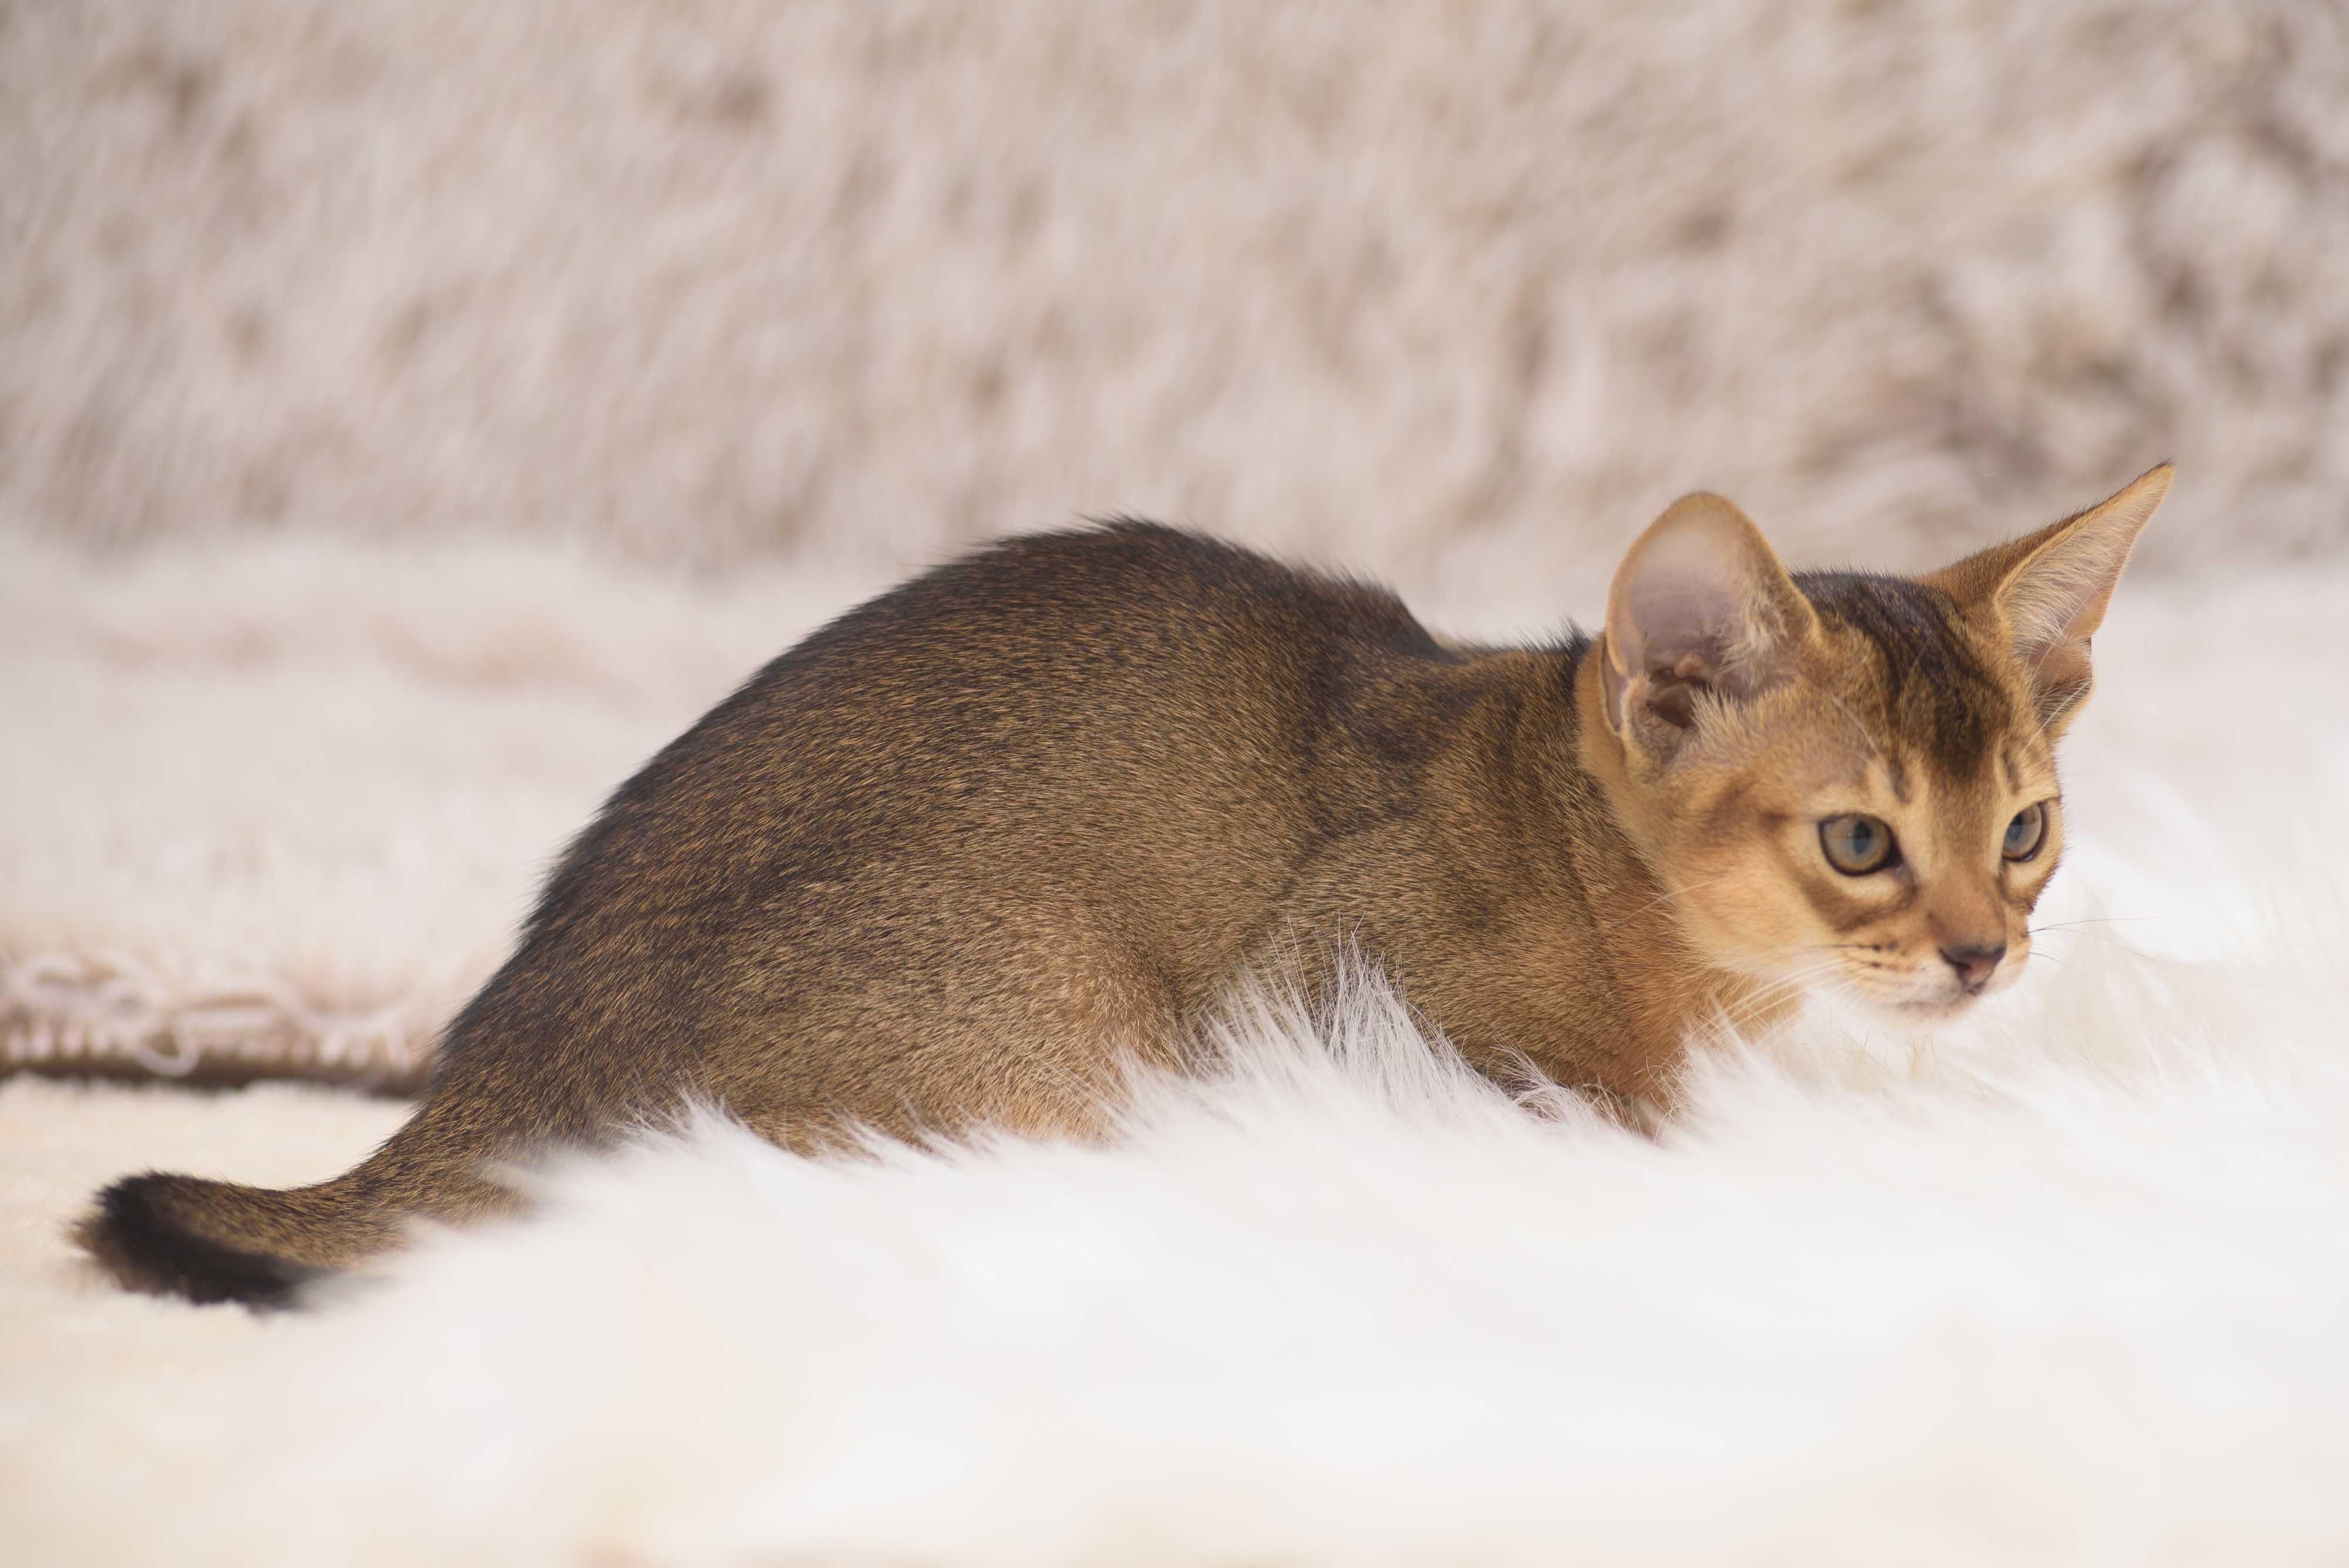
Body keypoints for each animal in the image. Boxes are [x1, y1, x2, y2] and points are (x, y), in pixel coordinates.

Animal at [73, 469, 2170, 1314]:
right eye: (1858, 839)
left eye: (2026, 827)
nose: (1985, 956)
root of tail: (496, 1074)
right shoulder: (1337, 980)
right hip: (1040, 1009)